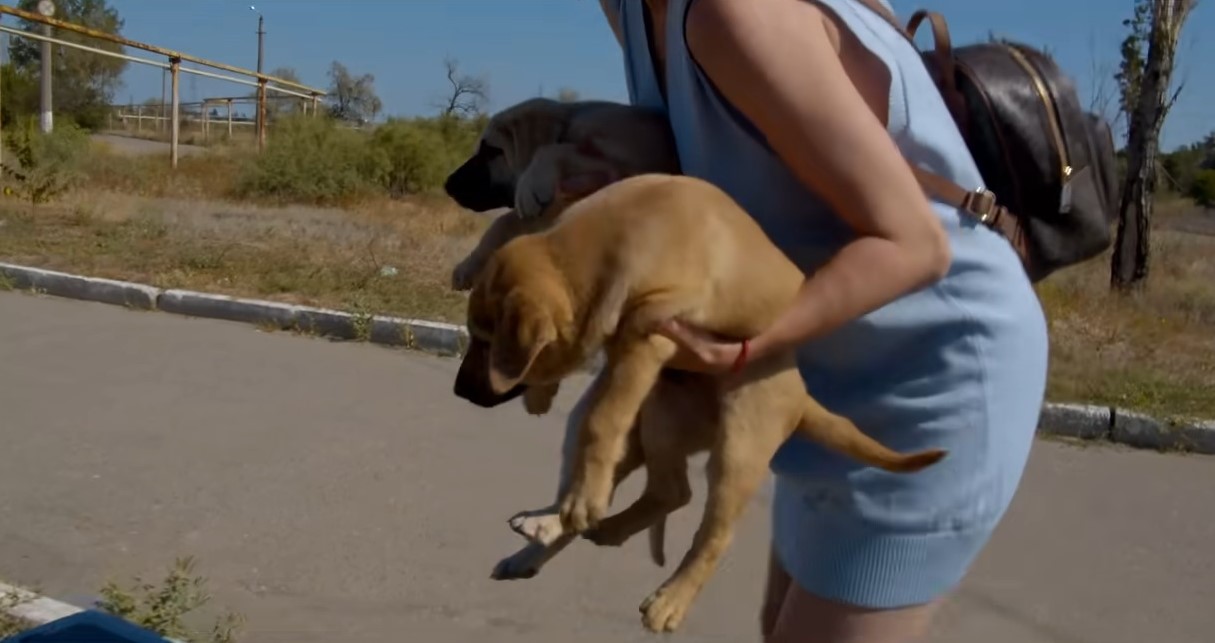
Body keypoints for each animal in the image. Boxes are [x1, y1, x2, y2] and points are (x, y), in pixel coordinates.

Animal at [464, 172, 947, 627]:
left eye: (486, 343)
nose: (460, 391)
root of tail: (800, 392)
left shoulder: (649, 334)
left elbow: (603, 418)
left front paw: (583, 497)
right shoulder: (627, 351)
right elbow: (594, 416)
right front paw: (543, 397)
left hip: (738, 448)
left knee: (712, 532)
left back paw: (668, 599)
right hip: (660, 413)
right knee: (669, 490)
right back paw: (556, 530)